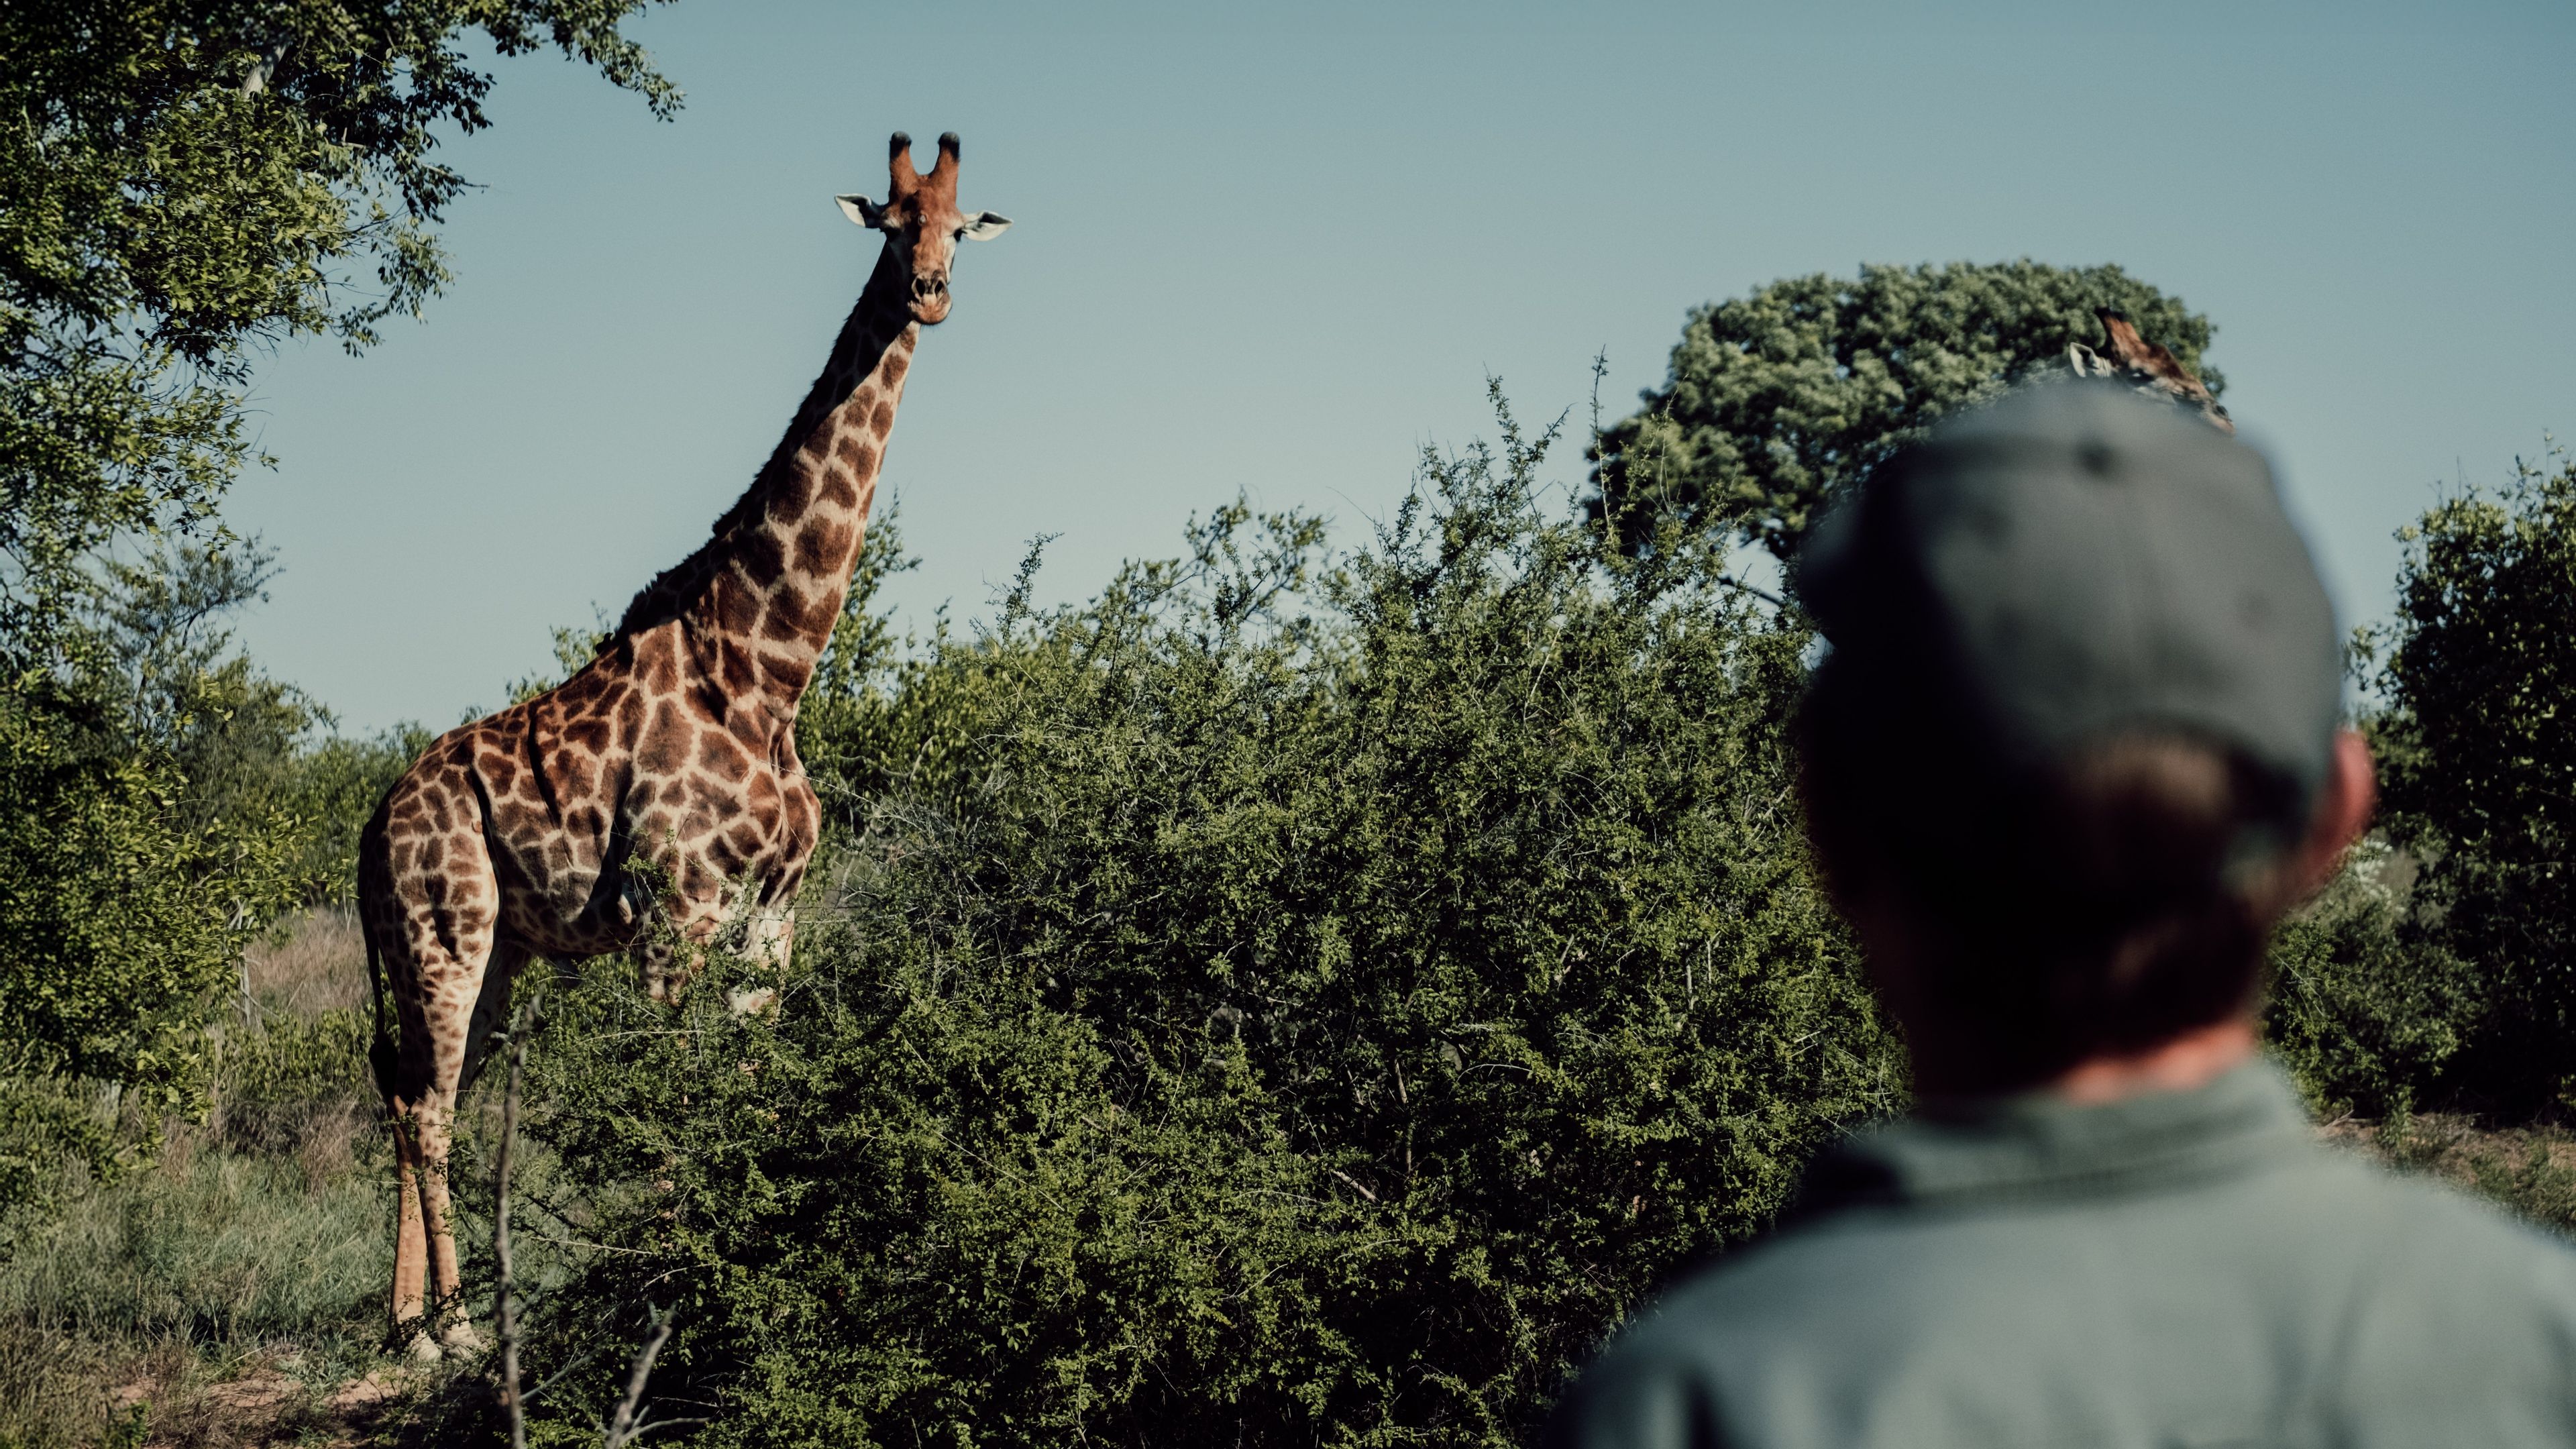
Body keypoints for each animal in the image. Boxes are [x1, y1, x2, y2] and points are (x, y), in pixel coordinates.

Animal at [357, 130, 1009, 1356]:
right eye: (892, 224)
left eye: (959, 228)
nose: (931, 293)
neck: (770, 667)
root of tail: (368, 830)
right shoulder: (677, 910)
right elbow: (671, 1098)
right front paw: (668, 1288)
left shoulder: (773, 914)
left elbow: (749, 1084)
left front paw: (742, 1274)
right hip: (442, 929)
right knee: (426, 1104)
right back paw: (455, 1330)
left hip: (492, 948)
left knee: (419, 1091)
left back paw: (406, 1324)